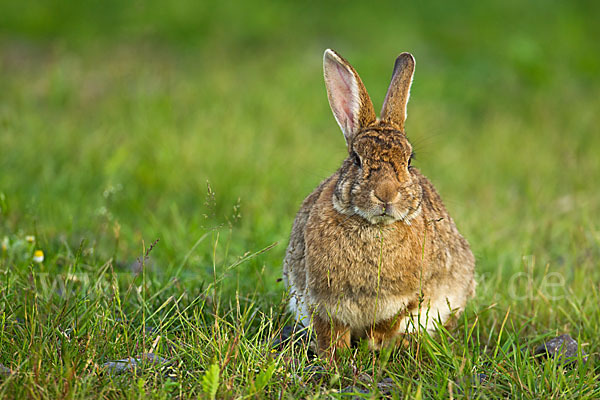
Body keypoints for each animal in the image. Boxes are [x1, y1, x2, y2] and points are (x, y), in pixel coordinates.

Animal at [284, 48, 476, 358]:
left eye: (408, 161)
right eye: (356, 159)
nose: (386, 194)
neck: (373, 227)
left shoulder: (404, 301)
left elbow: (385, 326)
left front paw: (374, 348)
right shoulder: (320, 301)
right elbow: (331, 333)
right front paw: (333, 359)